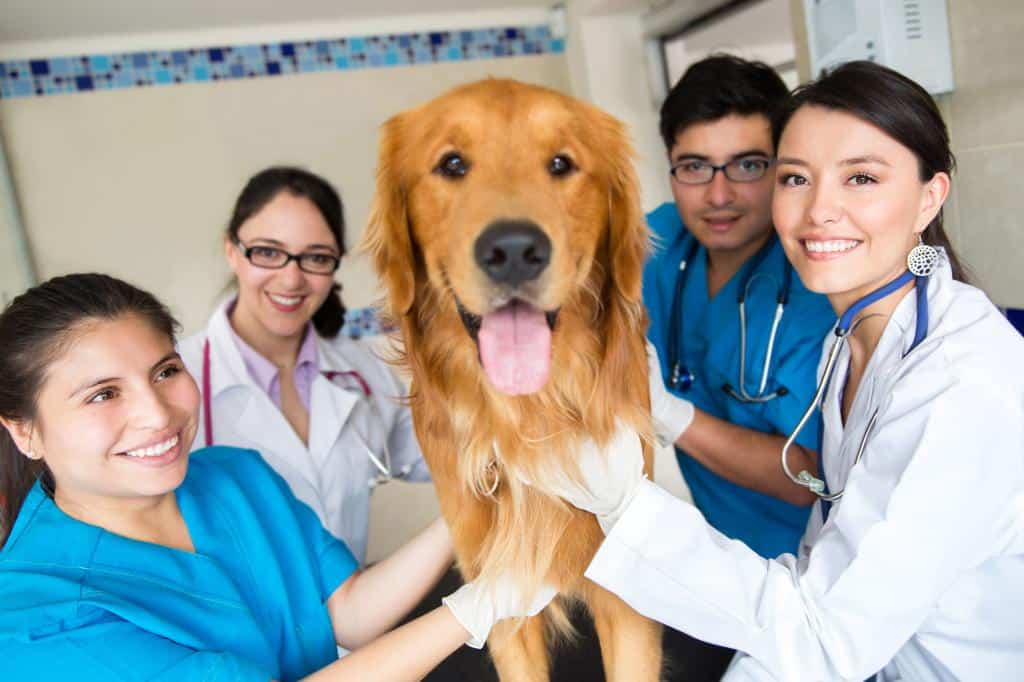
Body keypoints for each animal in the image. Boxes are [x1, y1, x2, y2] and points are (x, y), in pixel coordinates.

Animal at [364, 78, 659, 675]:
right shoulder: (500, 599)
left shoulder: (627, 604)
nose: (516, 249)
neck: (529, 413)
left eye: (561, 163)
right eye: (452, 164)